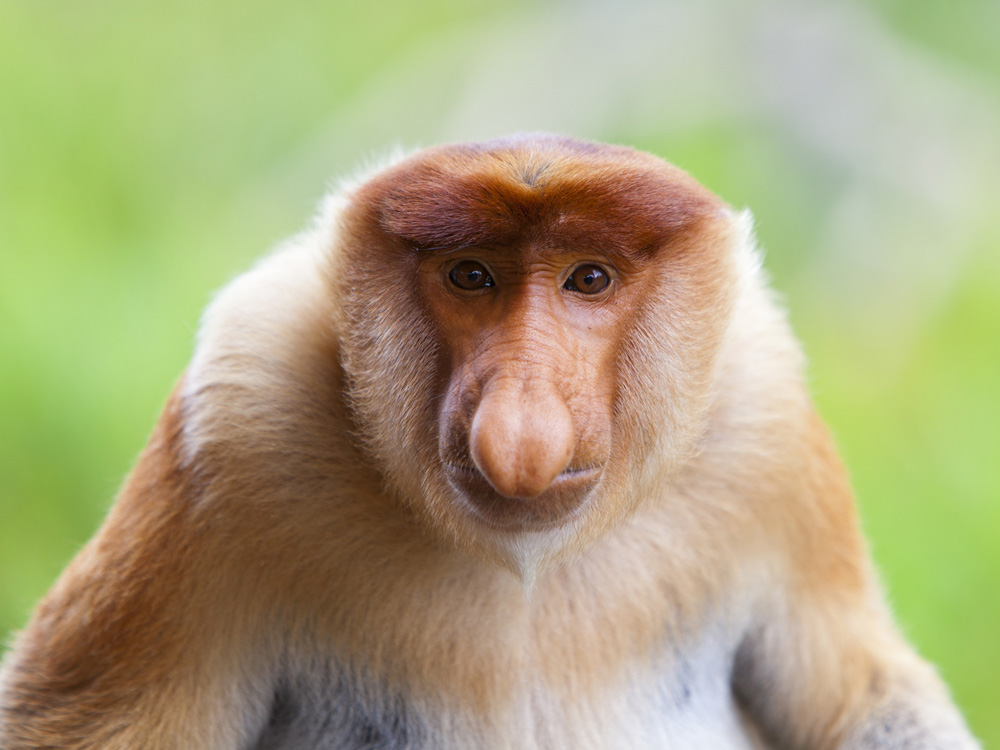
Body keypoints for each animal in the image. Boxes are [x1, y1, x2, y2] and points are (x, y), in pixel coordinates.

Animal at [0, 134, 979, 750]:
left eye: (590, 279)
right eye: (472, 276)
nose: (519, 429)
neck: (530, 562)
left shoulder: (766, 423)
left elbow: (870, 702)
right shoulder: (238, 415)